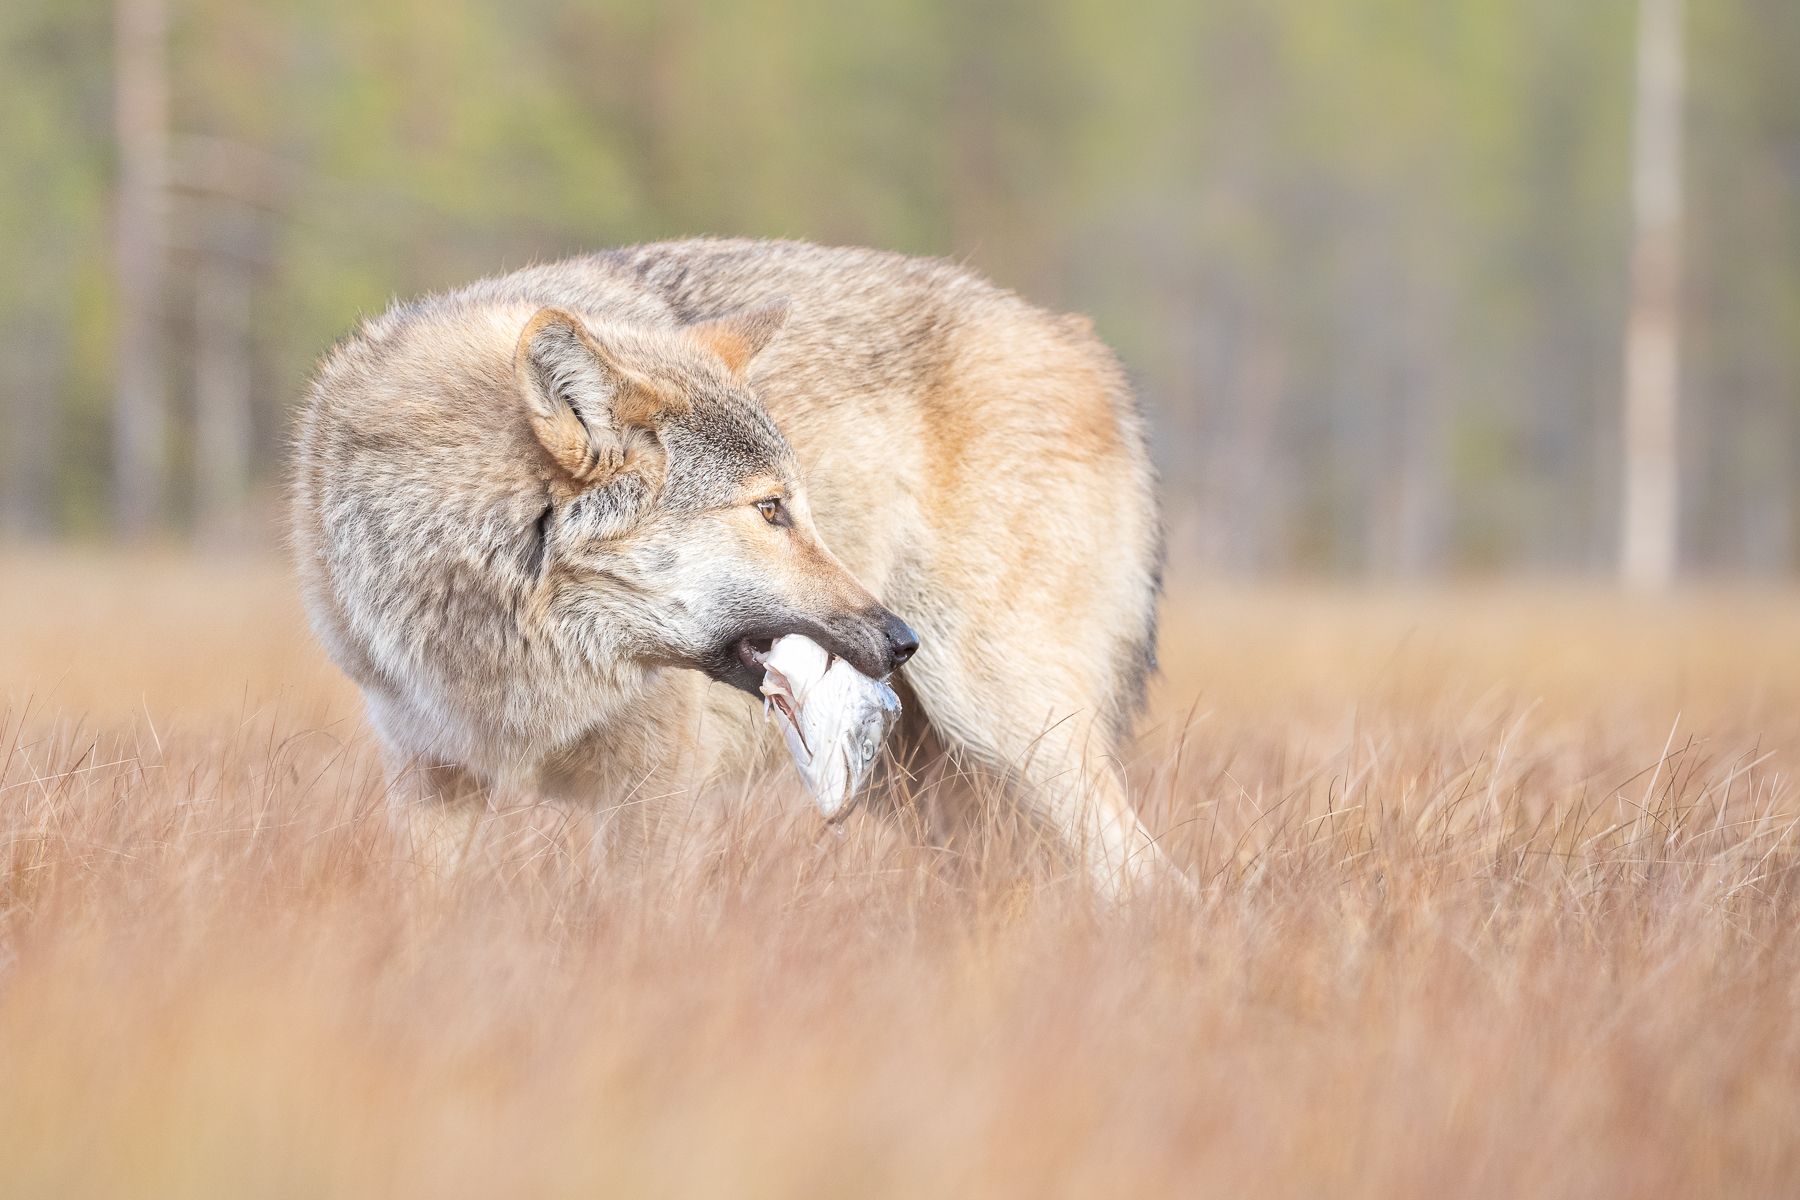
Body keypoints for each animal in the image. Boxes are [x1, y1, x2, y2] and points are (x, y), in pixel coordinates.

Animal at [291, 238, 1170, 894]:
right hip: (928, 791)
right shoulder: (430, 774)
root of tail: (1087, 347)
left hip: (1005, 726)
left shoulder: (654, 795)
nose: (900, 638)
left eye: (797, 505)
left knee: (1148, 878)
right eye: (772, 509)